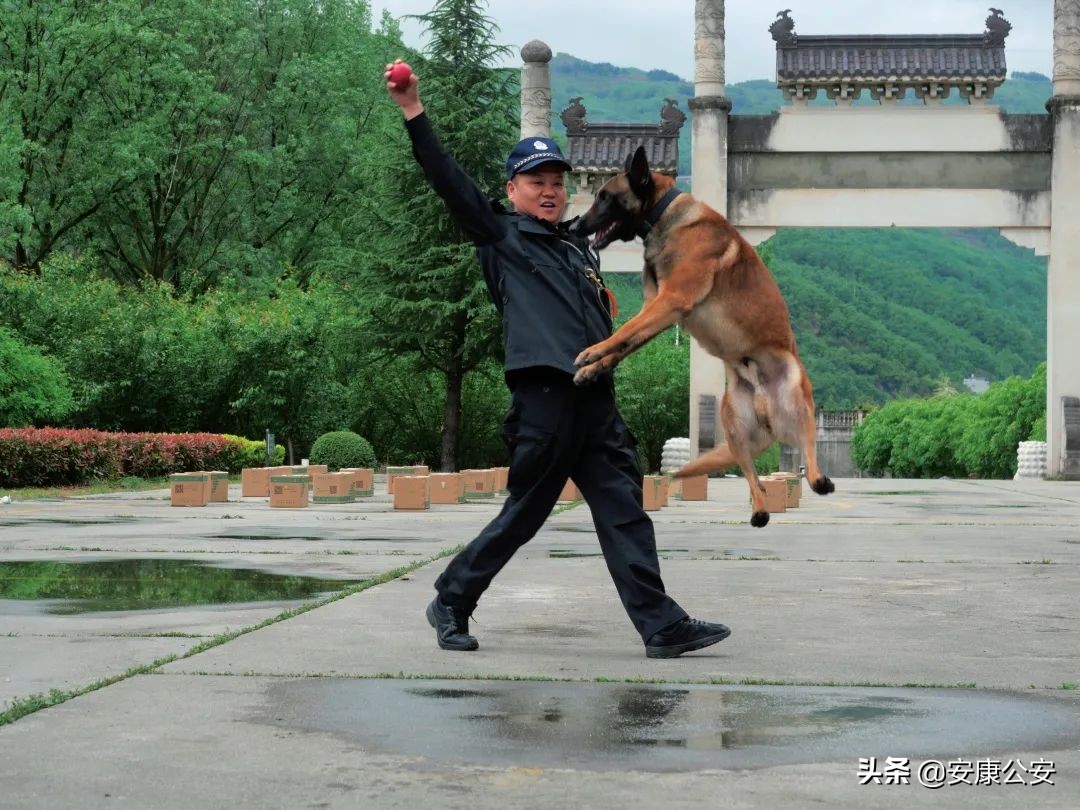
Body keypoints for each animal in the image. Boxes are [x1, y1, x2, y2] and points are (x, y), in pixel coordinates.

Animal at [574, 144, 833, 527]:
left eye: (606, 197)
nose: (573, 225)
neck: (664, 218)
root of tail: (767, 408)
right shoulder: (658, 310)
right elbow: (625, 343)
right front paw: (593, 368)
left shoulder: (669, 302)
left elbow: (622, 332)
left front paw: (592, 353)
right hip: (735, 428)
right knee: (754, 477)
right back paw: (759, 511)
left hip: (797, 399)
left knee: (809, 452)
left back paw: (819, 480)